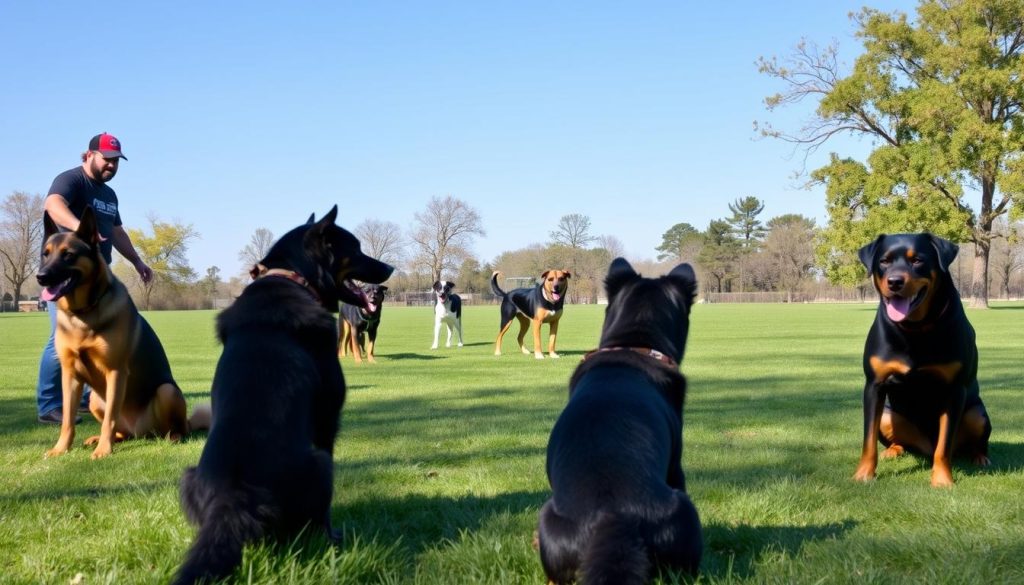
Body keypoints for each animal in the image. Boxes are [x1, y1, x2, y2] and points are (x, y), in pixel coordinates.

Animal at [35, 207, 207, 461]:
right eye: (45, 255)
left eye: (68, 255)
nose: (41, 276)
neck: (84, 313)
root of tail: (140, 431)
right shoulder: (70, 375)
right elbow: (67, 420)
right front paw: (61, 448)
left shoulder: (115, 371)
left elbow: (109, 419)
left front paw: (103, 451)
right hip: (96, 398)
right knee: (121, 431)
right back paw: (100, 438)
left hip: (167, 392)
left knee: (175, 428)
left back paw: (173, 437)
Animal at [169, 205, 393, 585]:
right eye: (357, 248)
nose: (390, 272)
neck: (292, 276)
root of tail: (231, 502)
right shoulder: (327, 418)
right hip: (321, 464)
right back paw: (331, 539)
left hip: (187, 476)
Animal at [856, 231, 991, 487]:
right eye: (884, 261)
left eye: (917, 260)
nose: (895, 281)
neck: (915, 328)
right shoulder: (874, 385)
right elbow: (868, 440)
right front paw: (863, 474)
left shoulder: (954, 390)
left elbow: (944, 446)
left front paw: (942, 479)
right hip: (888, 416)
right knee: (897, 440)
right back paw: (893, 450)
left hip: (977, 414)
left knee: (968, 441)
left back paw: (980, 457)